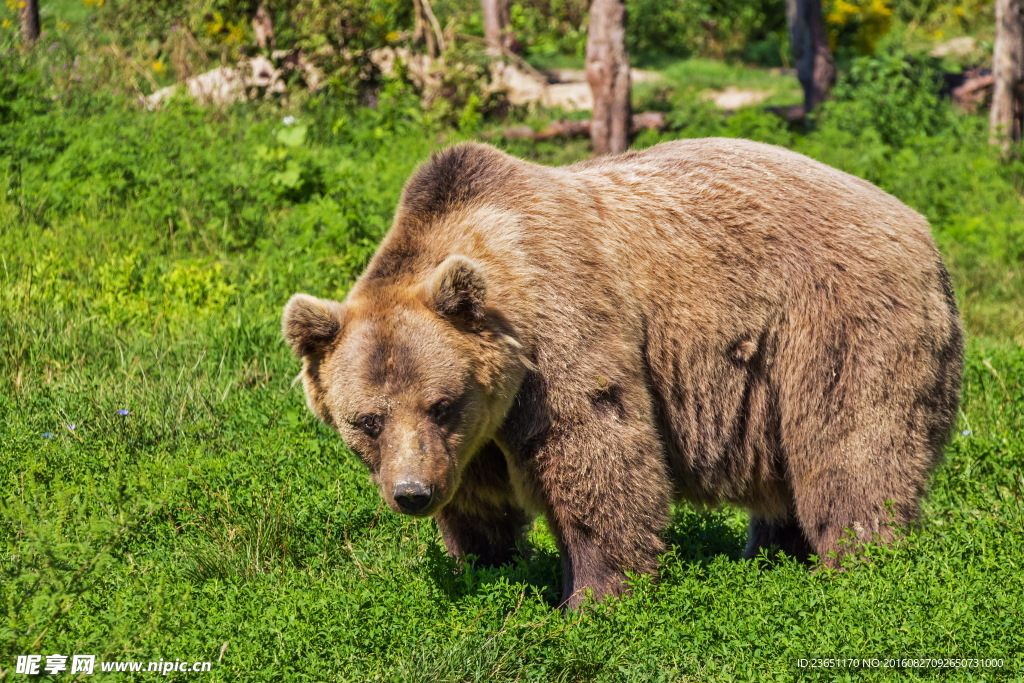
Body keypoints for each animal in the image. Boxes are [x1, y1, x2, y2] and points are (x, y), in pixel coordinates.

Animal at [280, 137, 958, 610]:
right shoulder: (473, 439)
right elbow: (478, 502)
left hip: (835, 323)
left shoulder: (562, 333)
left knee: (851, 447)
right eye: (366, 420)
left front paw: (592, 597)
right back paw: (770, 555)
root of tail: (921, 226)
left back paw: (858, 563)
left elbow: (597, 456)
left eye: (441, 403)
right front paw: (484, 565)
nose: (412, 493)